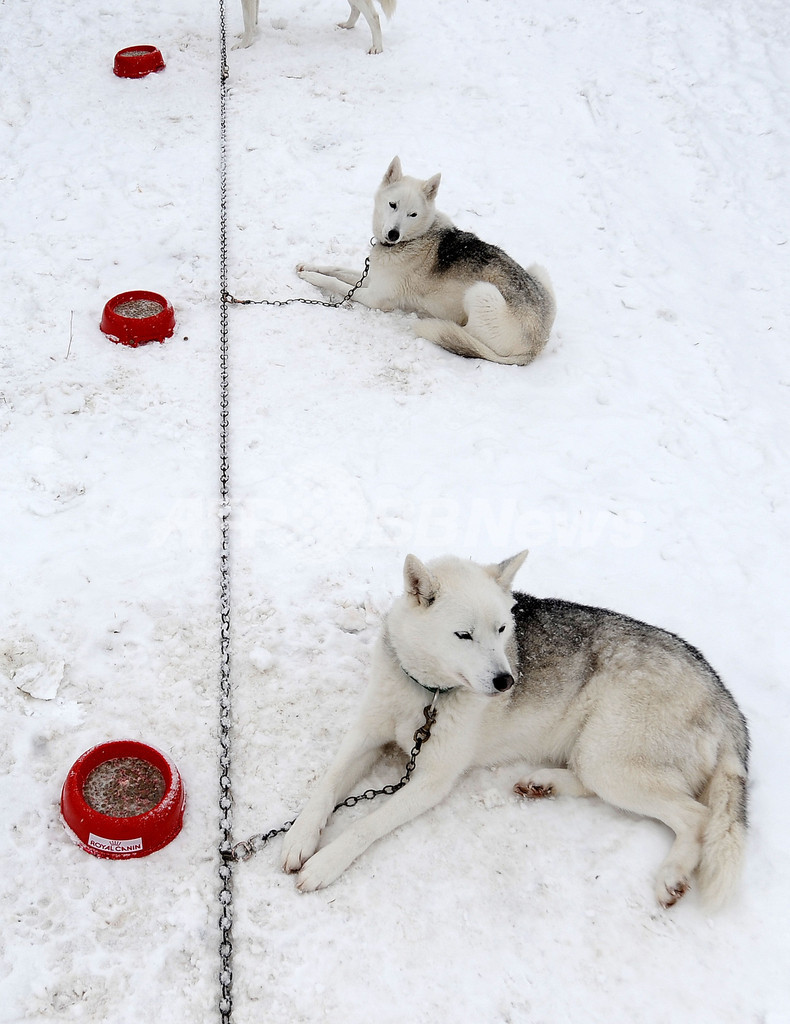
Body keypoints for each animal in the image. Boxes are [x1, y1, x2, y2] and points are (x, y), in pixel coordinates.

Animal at [235, 0, 396, 53]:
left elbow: (247, 19)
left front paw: (243, 45)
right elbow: (252, 19)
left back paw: (377, 47)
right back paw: (347, 25)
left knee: (374, 17)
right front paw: (252, 34)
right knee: (356, 9)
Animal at [281, 551, 749, 908]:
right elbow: (326, 786)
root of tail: (718, 688)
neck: (429, 693)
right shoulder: (365, 736)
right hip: (597, 757)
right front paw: (299, 837)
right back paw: (544, 783)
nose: (507, 681)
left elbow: (366, 825)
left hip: (610, 758)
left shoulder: (432, 780)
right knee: (593, 783)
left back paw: (672, 874)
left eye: (503, 629)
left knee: (698, 816)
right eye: (463, 635)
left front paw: (325, 863)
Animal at [296, 157, 557, 365]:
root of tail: (538, 344)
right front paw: (309, 267)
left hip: (482, 293)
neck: (414, 238)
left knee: (468, 336)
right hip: (538, 270)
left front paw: (310, 277)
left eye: (413, 214)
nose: (393, 234)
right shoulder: (372, 279)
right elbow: (337, 269)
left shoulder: (376, 298)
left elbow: (337, 284)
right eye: (393, 205)